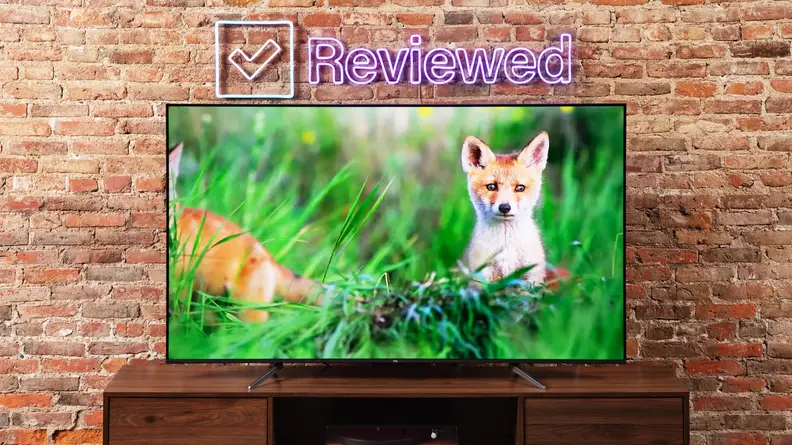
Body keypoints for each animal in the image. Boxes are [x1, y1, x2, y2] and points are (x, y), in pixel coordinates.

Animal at [461, 132, 549, 286]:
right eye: (491, 186)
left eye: (520, 188)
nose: (504, 207)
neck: (507, 249)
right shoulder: (482, 278)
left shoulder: (531, 277)